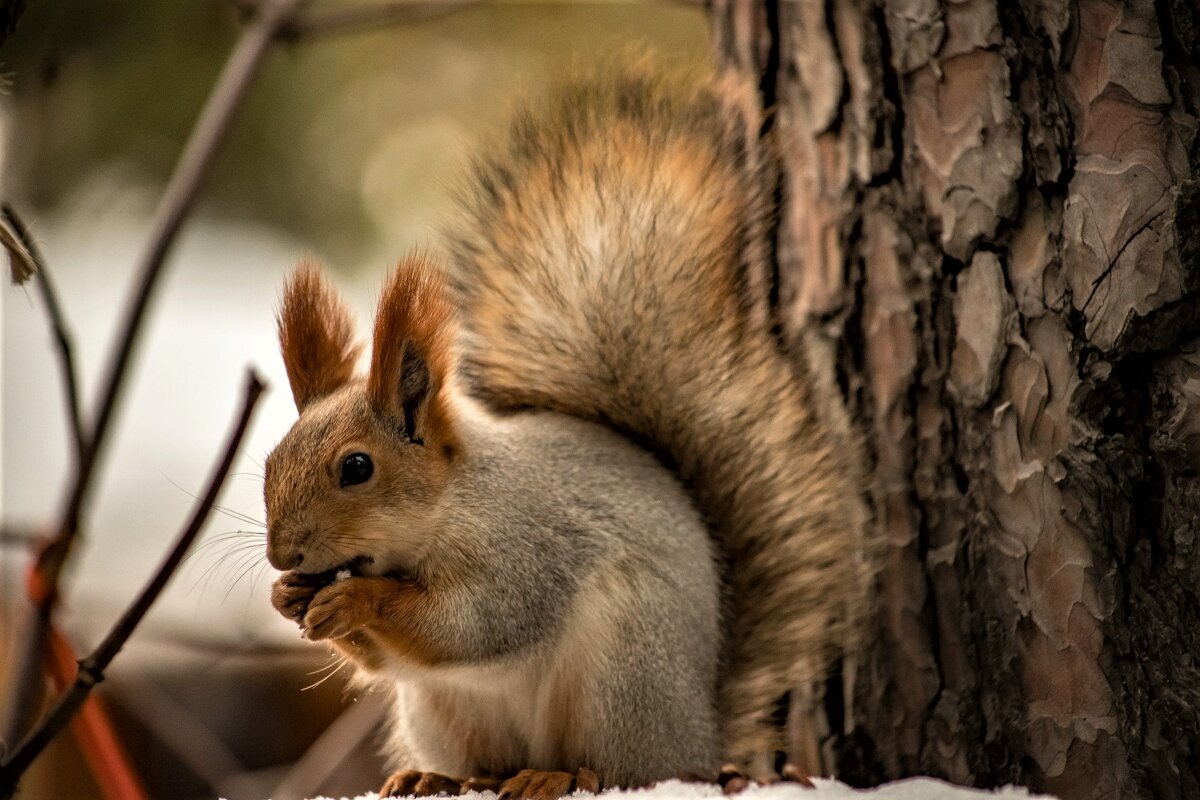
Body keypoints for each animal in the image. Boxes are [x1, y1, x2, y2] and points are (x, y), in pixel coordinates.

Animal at [265, 61, 873, 800]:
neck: (442, 511)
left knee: (626, 772)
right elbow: (388, 662)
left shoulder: (525, 553)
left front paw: (357, 598)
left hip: (624, 671)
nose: (282, 556)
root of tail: (704, 732)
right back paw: (436, 777)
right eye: (269, 463)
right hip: (442, 711)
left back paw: (557, 775)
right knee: (482, 764)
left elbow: (469, 628)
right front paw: (289, 599)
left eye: (356, 467)